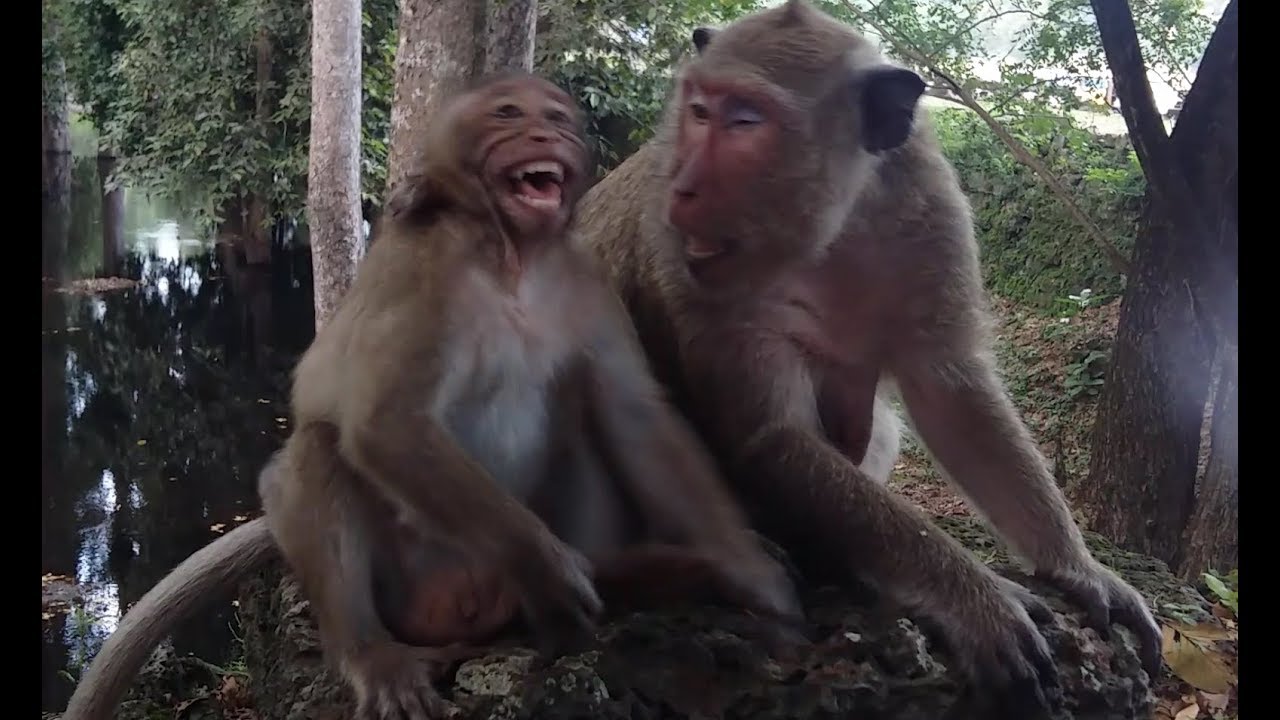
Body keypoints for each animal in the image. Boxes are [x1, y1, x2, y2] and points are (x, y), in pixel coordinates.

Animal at [62, 71, 802, 720]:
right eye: (509, 114)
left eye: (557, 118)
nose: (546, 134)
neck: (511, 255)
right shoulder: (422, 270)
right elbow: (383, 422)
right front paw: (548, 565)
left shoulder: (583, 275)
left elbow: (634, 413)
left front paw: (744, 568)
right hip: (413, 589)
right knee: (317, 451)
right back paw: (372, 653)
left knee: (581, 421)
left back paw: (625, 581)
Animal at [569, 1, 1163, 714]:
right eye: (700, 111)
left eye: (746, 121)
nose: (684, 188)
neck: (837, 224)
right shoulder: (686, 259)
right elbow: (773, 437)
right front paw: (975, 596)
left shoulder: (931, 205)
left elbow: (950, 391)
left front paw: (1079, 569)